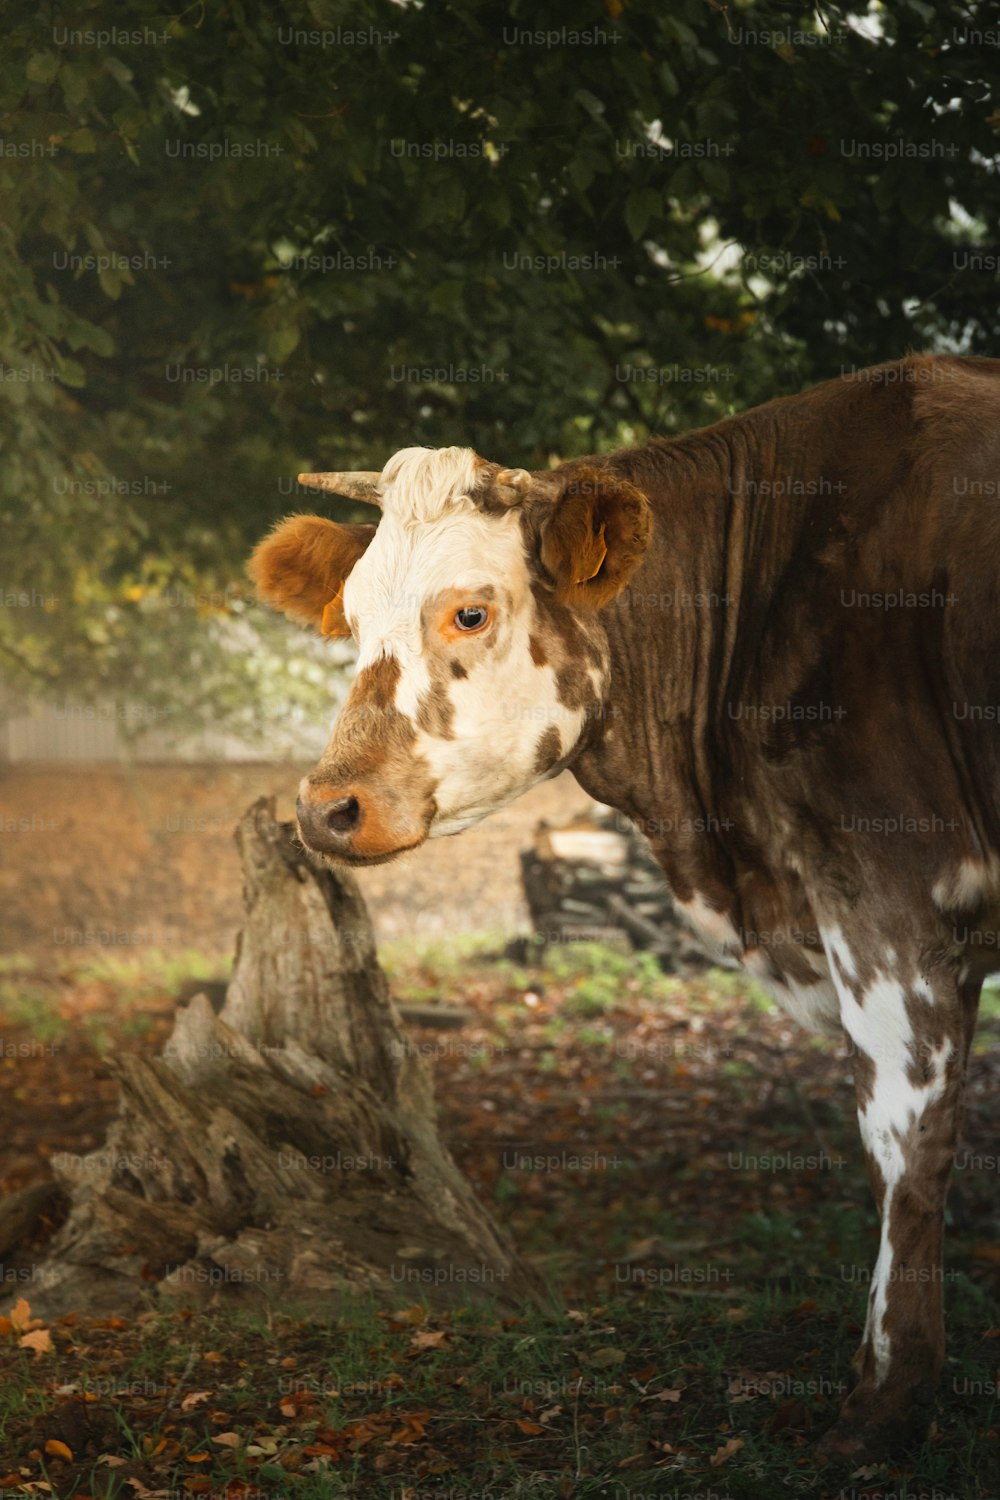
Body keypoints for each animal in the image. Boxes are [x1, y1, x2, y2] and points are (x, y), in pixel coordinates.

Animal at [250, 351, 1000, 1452]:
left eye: (469, 612)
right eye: (347, 616)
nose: (327, 807)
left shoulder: (883, 893)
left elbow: (904, 1140)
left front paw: (887, 1396)